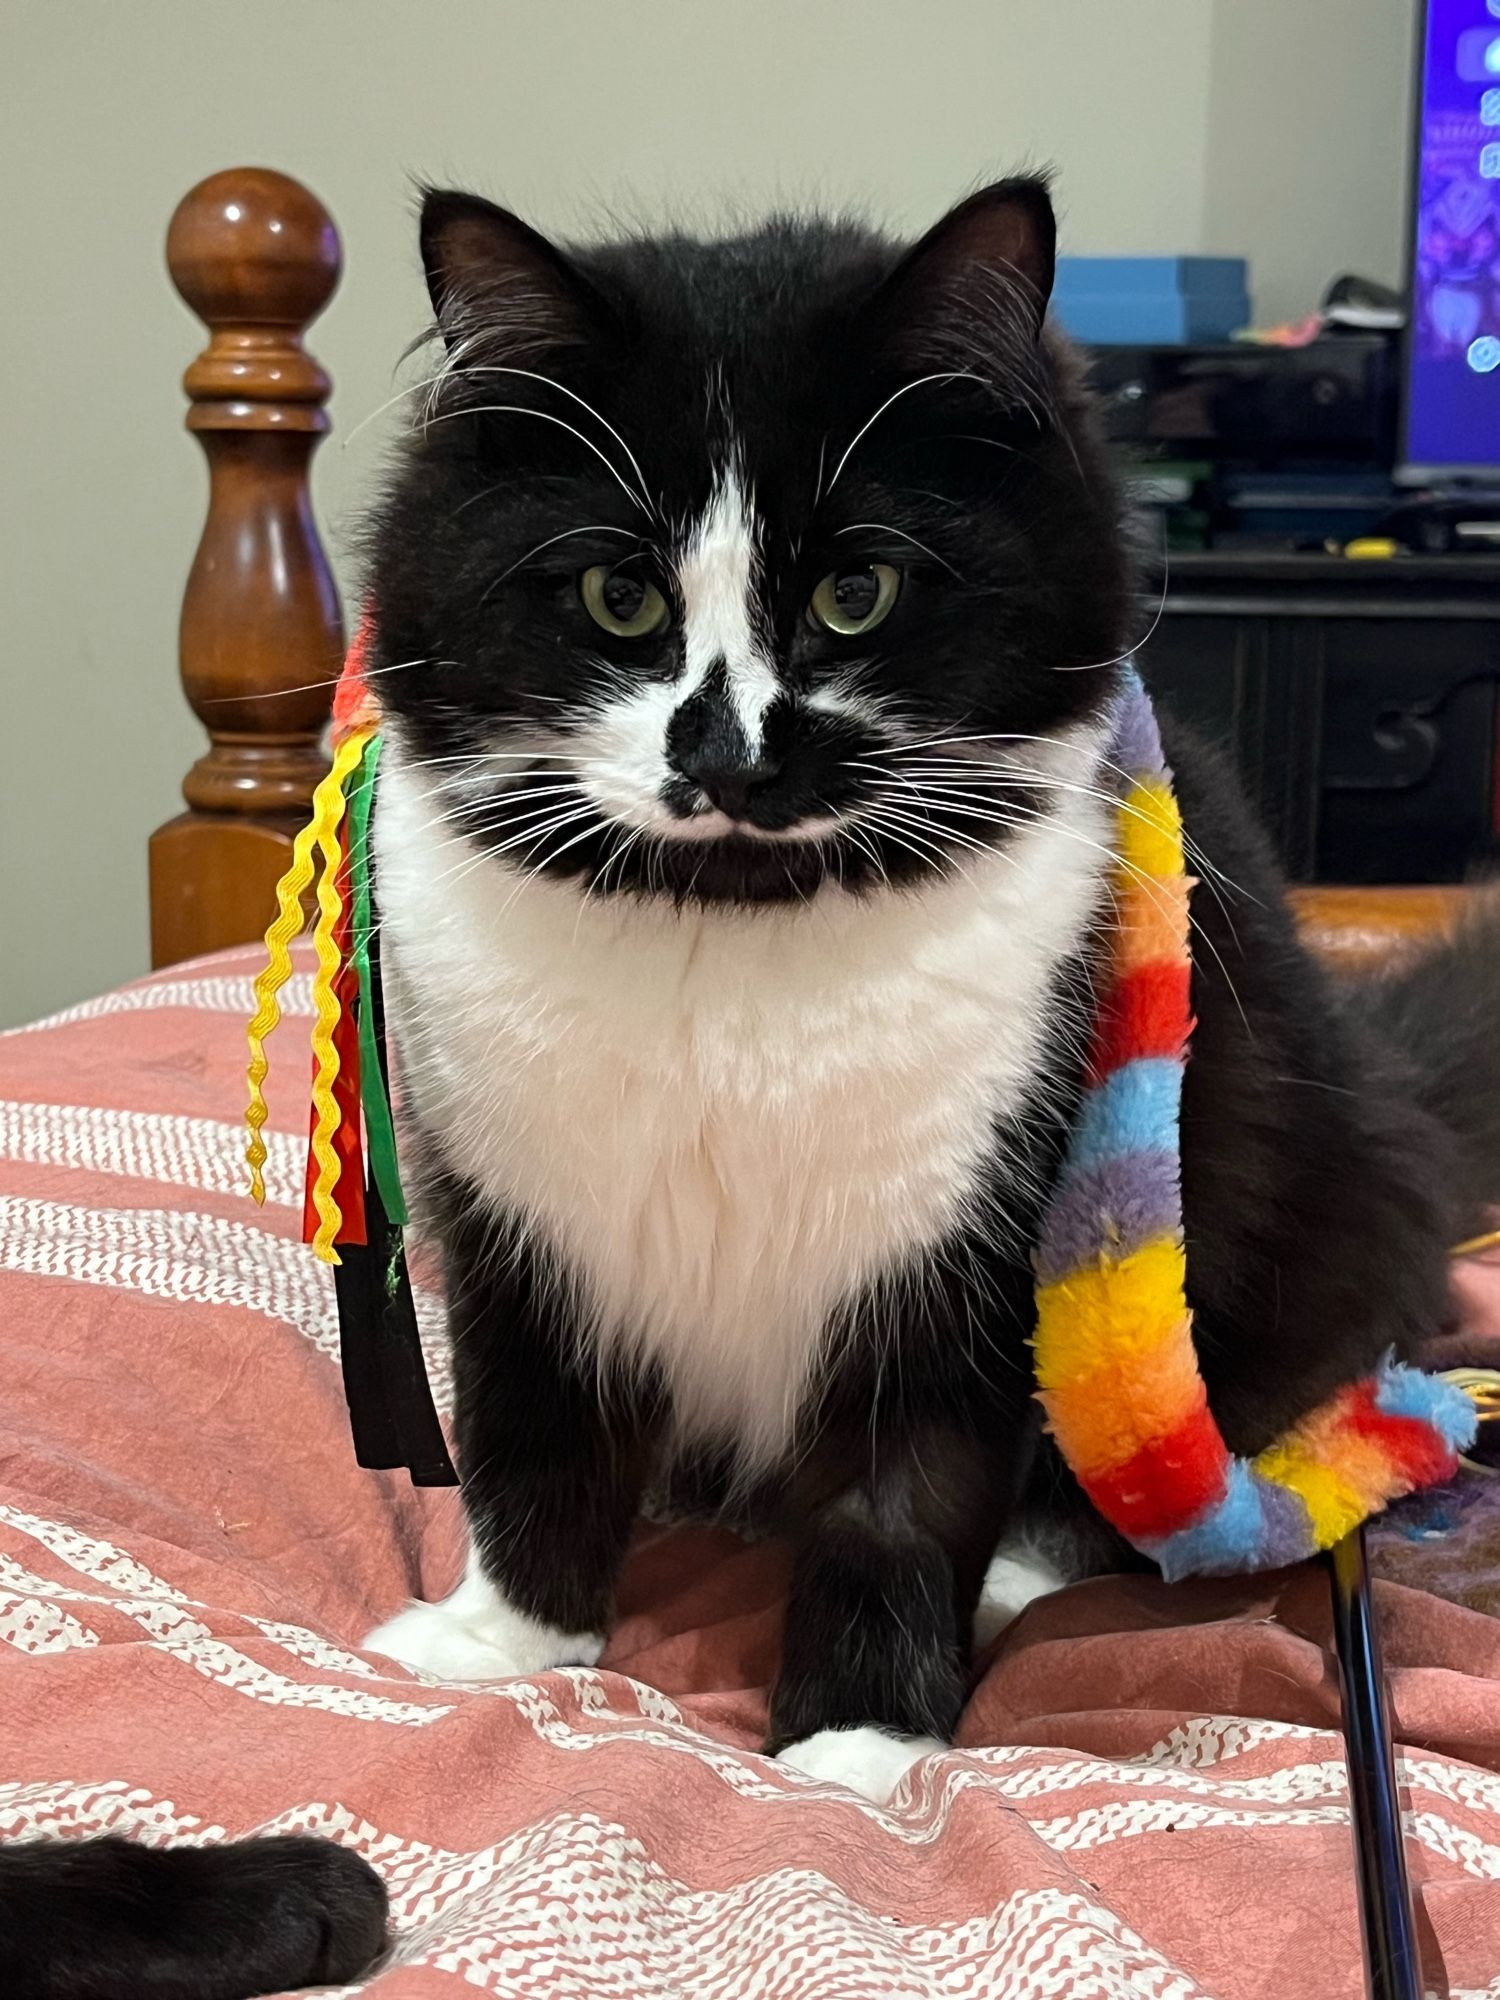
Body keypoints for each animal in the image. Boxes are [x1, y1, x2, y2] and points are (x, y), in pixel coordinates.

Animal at [5, 176, 1496, 2000]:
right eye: (617, 598)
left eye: (855, 593)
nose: (723, 754)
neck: (727, 929)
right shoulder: (518, 1218)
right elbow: (531, 1431)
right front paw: (508, 1635)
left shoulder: (964, 1240)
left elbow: (897, 1496)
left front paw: (853, 1737)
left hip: (1268, 1223)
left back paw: (1016, 1575)